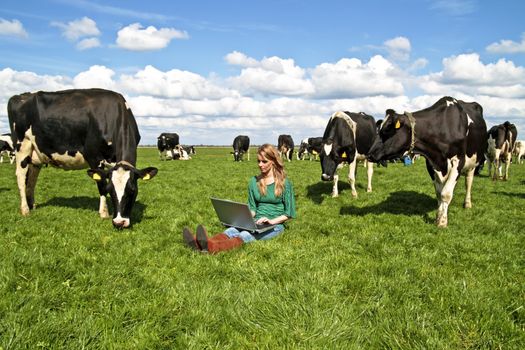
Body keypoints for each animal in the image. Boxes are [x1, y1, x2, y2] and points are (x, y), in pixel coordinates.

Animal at [7, 89, 158, 228]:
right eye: (111, 190)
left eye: (132, 190)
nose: (119, 222)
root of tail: (20, 96)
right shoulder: (94, 157)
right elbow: (101, 185)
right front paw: (104, 213)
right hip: (22, 146)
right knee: (21, 177)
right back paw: (25, 209)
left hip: (36, 154)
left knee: (32, 179)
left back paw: (32, 204)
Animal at [366, 96, 486, 227]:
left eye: (387, 129)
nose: (369, 154)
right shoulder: (431, 163)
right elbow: (439, 192)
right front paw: (438, 215)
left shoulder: (458, 162)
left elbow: (446, 193)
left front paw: (442, 222)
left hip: (473, 163)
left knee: (468, 182)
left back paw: (467, 203)